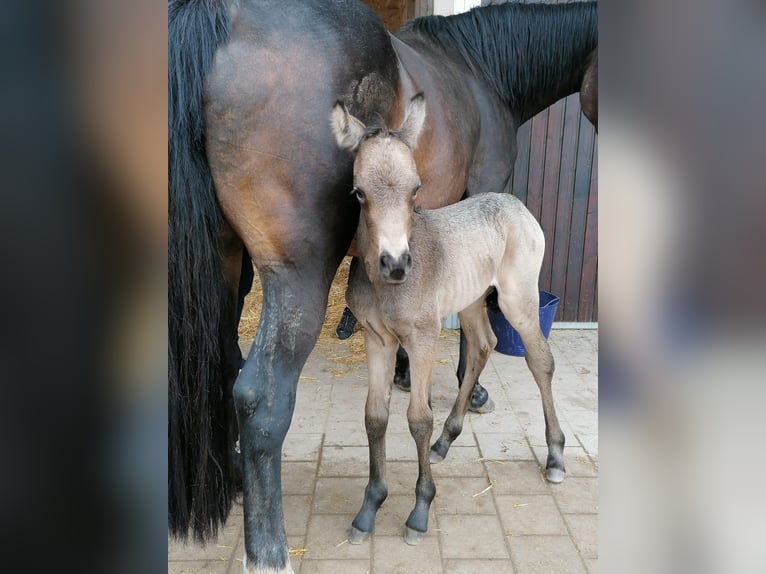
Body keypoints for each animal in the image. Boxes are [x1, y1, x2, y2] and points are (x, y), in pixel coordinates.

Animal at [332, 97, 568, 548]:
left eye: (416, 189)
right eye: (358, 192)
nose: (395, 263)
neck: (387, 288)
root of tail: (516, 204)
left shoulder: (423, 336)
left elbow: (417, 419)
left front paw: (419, 511)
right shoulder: (378, 339)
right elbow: (375, 416)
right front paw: (369, 508)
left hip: (517, 298)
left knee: (541, 360)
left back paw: (555, 455)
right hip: (473, 300)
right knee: (482, 346)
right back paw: (446, 440)